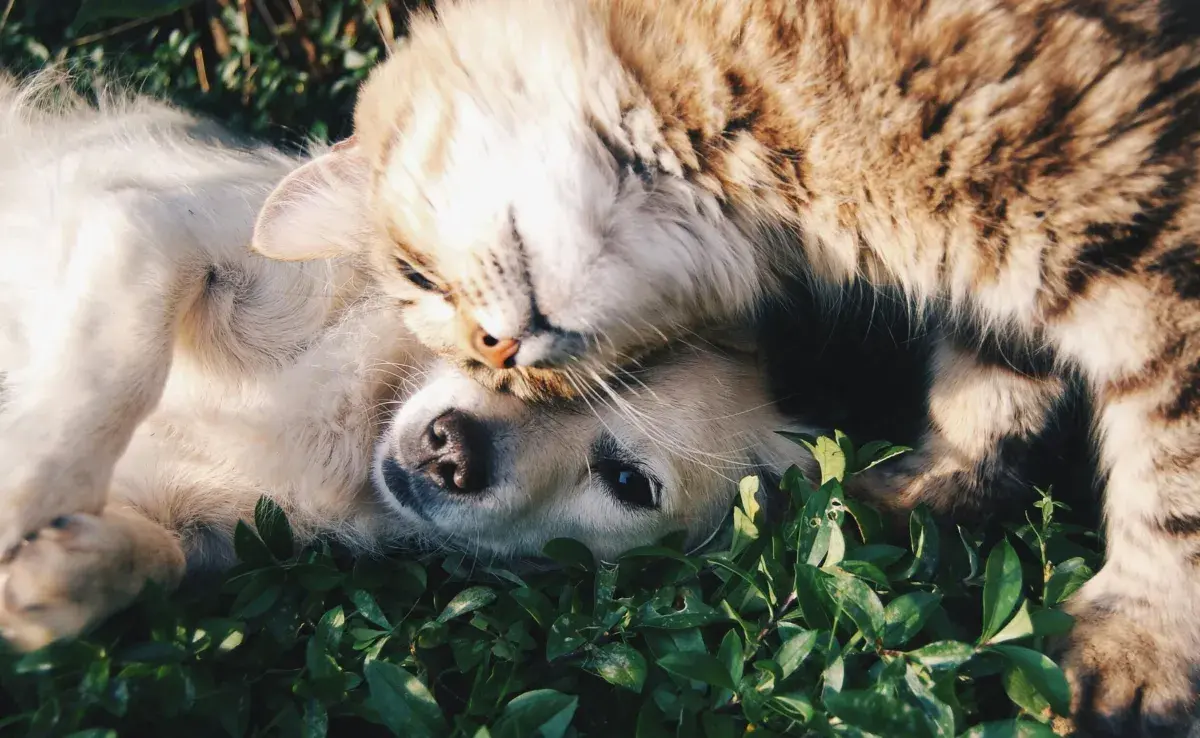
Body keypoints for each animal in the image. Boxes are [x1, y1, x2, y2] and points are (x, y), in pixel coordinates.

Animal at [0, 75, 816, 652]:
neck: (359, 413)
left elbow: (163, 557)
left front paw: (62, 576)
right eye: (507, 339)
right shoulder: (152, 226)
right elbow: (114, 372)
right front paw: (27, 489)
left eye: (627, 483)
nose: (452, 451)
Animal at [250, 0, 1200, 729]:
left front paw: (1137, 646)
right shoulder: (1008, 282)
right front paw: (920, 495)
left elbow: (1172, 480)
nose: (500, 354)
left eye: (416, 277)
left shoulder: (1154, 246)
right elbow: (989, 392)